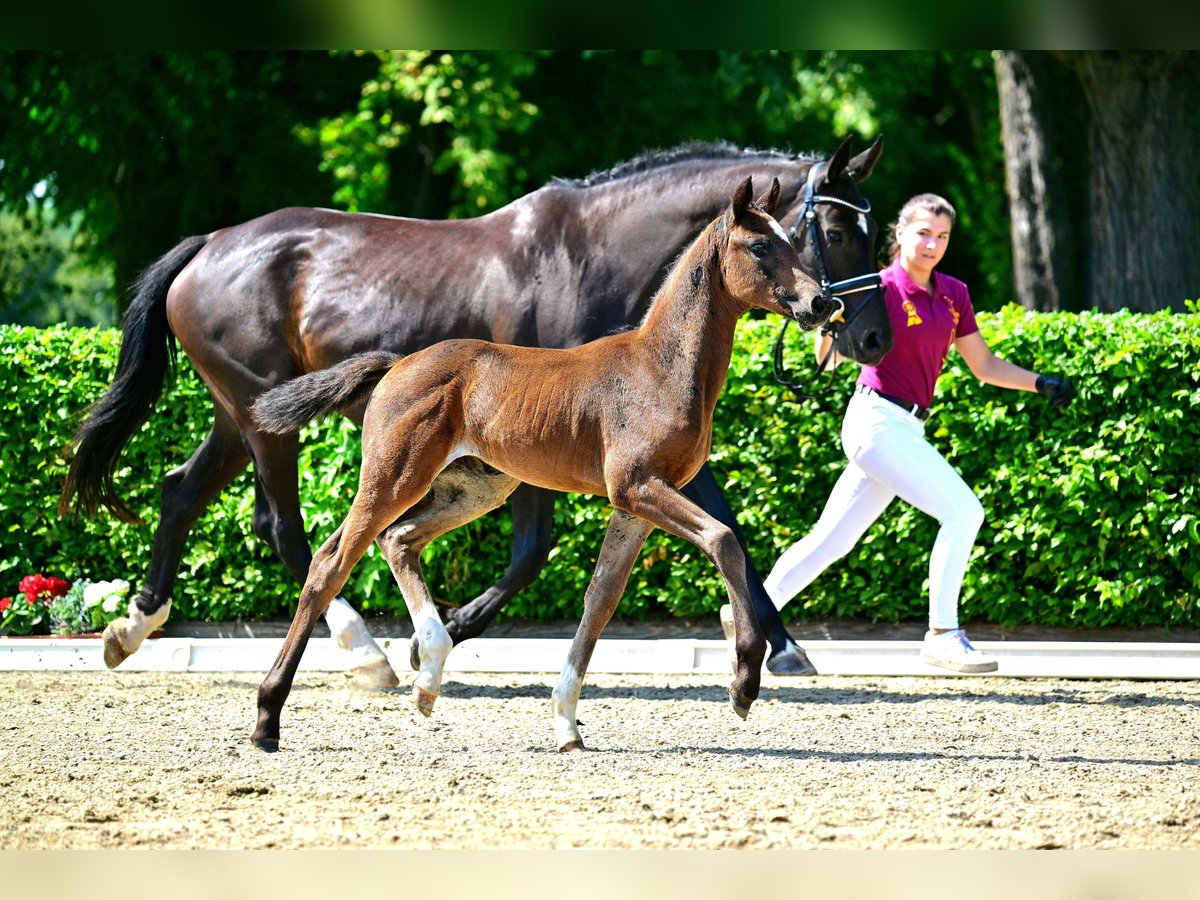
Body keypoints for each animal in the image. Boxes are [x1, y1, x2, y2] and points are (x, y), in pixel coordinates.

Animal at [250, 177, 835, 753]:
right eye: (759, 247)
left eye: (791, 239)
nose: (820, 301)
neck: (660, 367)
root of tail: (398, 363)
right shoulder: (637, 486)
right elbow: (723, 540)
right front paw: (744, 683)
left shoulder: (636, 507)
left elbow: (601, 599)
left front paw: (566, 724)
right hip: (394, 476)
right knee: (331, 563)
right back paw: (268, 717)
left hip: (472, 490)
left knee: (398, 540)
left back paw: (428, 676)